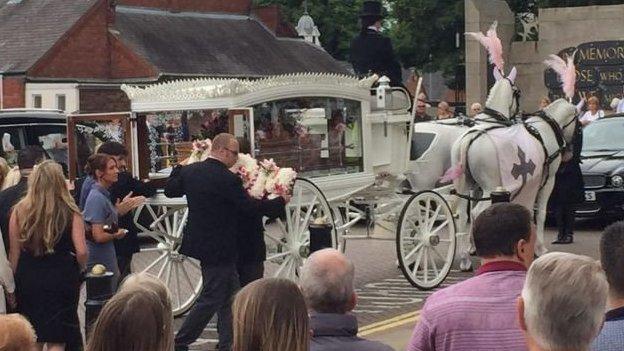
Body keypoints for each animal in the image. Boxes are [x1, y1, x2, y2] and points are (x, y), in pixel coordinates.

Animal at [448, 97, 580, 262]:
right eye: (578, 123)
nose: (569, 153)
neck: (545, 129)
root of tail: (470, 138)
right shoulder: (548, 181)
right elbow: (541, 213)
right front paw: (539, 248)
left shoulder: (530, 183)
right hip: (489, 188)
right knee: (476, 212)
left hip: (464, 187)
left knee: (464, 215)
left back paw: (465, 255)